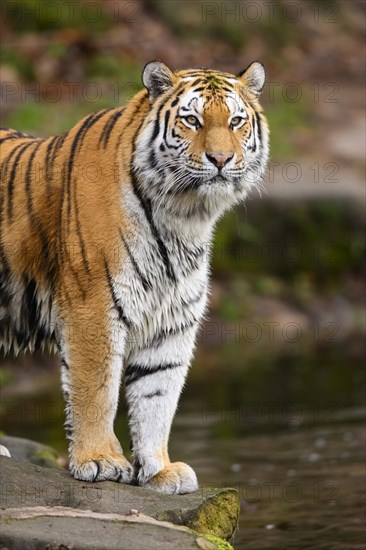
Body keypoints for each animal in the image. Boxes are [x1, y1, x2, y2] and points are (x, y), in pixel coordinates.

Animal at [0, 60, 268, 496]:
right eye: (192, 120)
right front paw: (101, 461)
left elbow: (158, 396)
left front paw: (159, 469)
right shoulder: (92, 308)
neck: (184, 216)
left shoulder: (173, 320)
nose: (221, 159)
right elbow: (97, 390)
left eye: (236, 121)